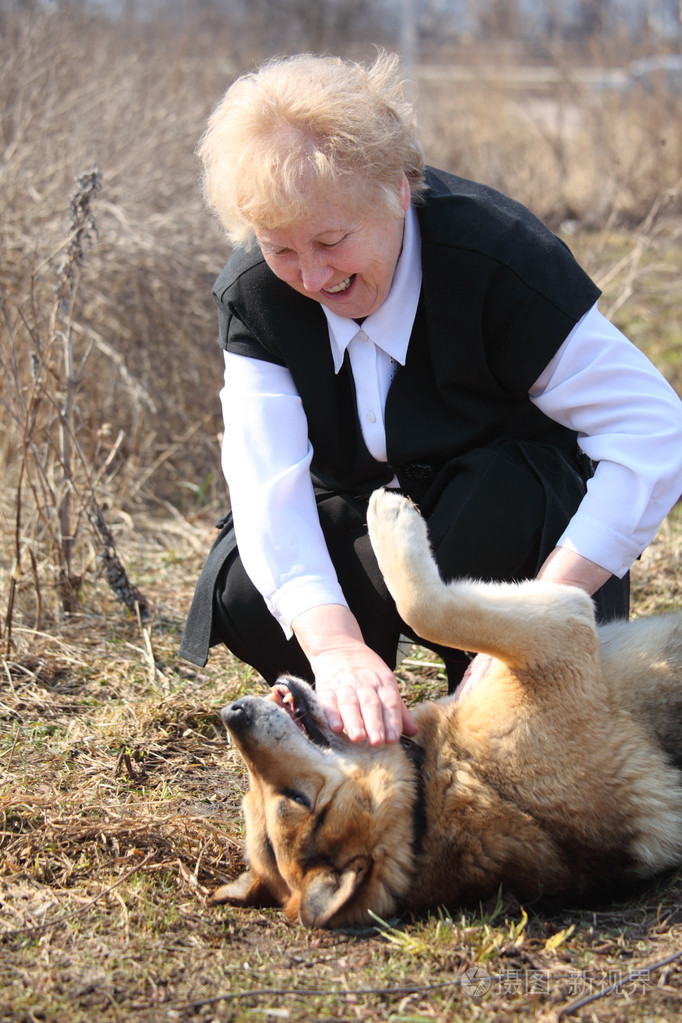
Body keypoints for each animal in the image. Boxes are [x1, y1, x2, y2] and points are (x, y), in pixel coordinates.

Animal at [210, 486, 682, 928]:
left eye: (252, 799)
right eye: (297, 799)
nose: (232, 714)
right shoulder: (563, 633)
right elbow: (424, 610)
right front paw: (391, 516)